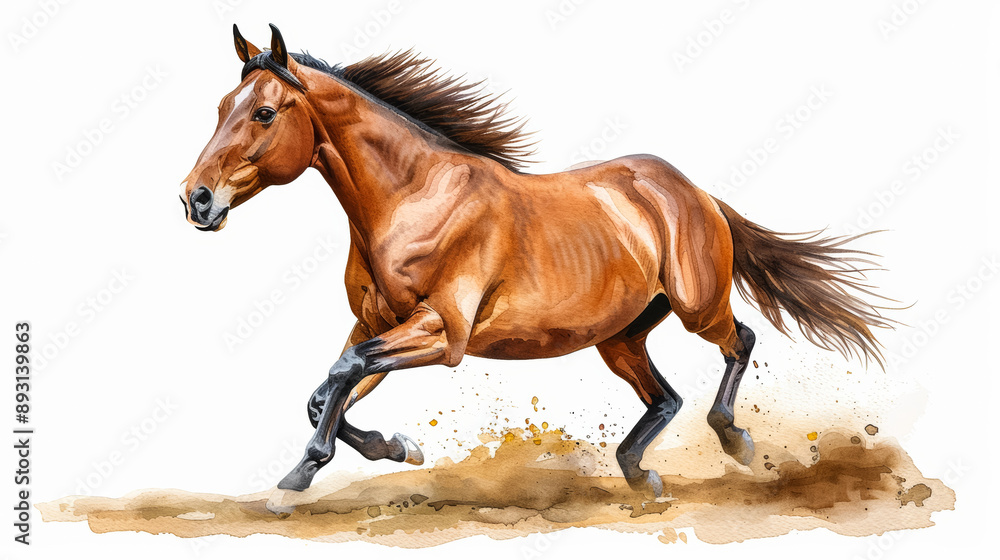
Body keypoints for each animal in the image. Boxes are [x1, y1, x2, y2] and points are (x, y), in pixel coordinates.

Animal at [180, 24, 892, 505]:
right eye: (219, 108)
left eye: (264, 112)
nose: (196, 199)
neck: (414, 197)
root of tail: (692, 191)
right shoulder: (375, 325)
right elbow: (326, 388)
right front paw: (392, 448)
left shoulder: (443, 333)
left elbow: (339, 376)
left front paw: (304, 473)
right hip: (620, 338)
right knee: (666, 396)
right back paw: (638, 471)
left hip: (697, 306)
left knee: (739, 340)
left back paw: (734, 441)